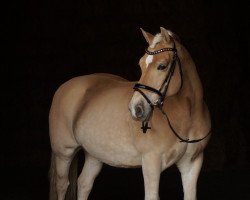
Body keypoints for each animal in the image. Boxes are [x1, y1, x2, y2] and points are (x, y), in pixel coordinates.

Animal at [48, 27, 211, 200]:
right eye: (141, 64)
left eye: (162, 66)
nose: (136, 108)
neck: (188, 117)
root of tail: (64, 87)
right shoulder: (151, 163)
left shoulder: (192, 165)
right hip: (64, 153)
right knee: (62, 185)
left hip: (94, 155)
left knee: (84, 183)